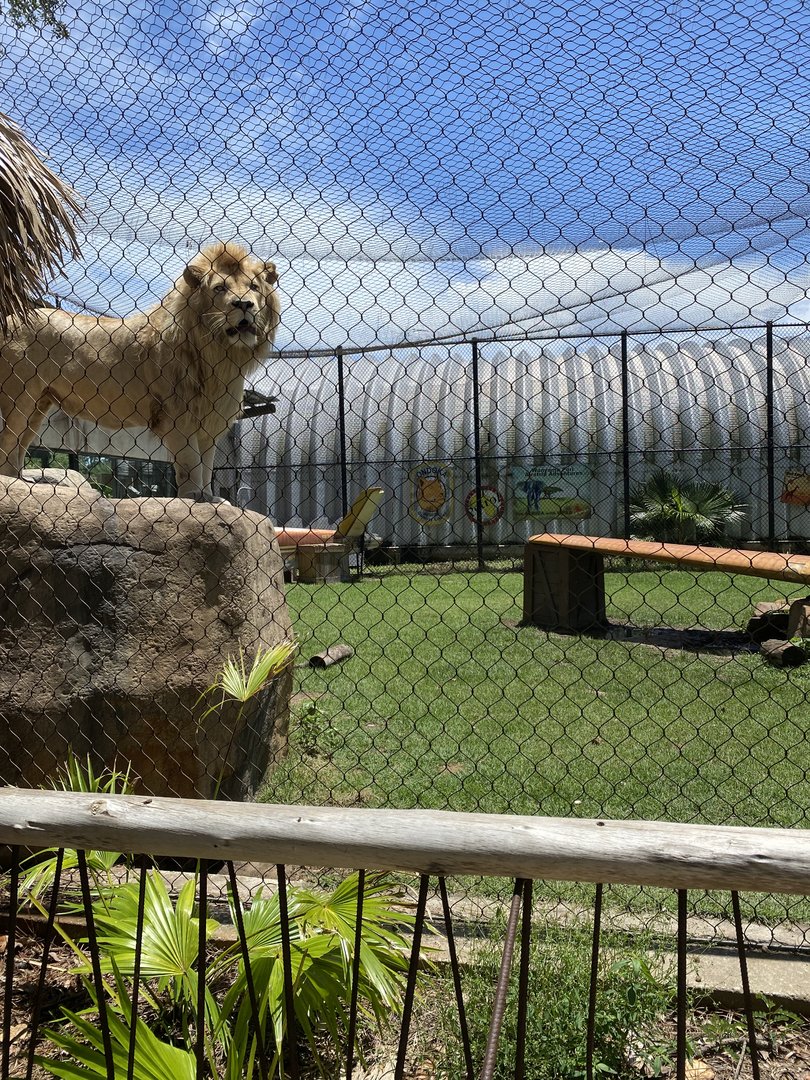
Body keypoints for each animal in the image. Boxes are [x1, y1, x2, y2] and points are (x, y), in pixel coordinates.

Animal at [0, 241, 280, 501]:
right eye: (220, 288)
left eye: (254, 287)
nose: (244, 304)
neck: (221, 355)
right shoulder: (178, 416)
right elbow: (190, 462)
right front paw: (193, 496)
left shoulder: (210, 418)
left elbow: (207, 464)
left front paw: (210, 496)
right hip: (17, 399)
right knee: (8, 441)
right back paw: (11, 484)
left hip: (38, 405)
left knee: (19, 444)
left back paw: (21, 481)